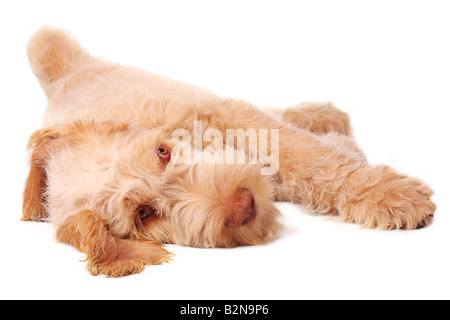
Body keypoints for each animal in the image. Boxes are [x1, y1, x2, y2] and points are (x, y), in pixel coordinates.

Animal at [22, 28, 436, 278]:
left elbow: (308, 155)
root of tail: (64, 79)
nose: (242, 205)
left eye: (163, 153)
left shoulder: (230, 115)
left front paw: (389, 193)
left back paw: (325, 116)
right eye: (144, 214)